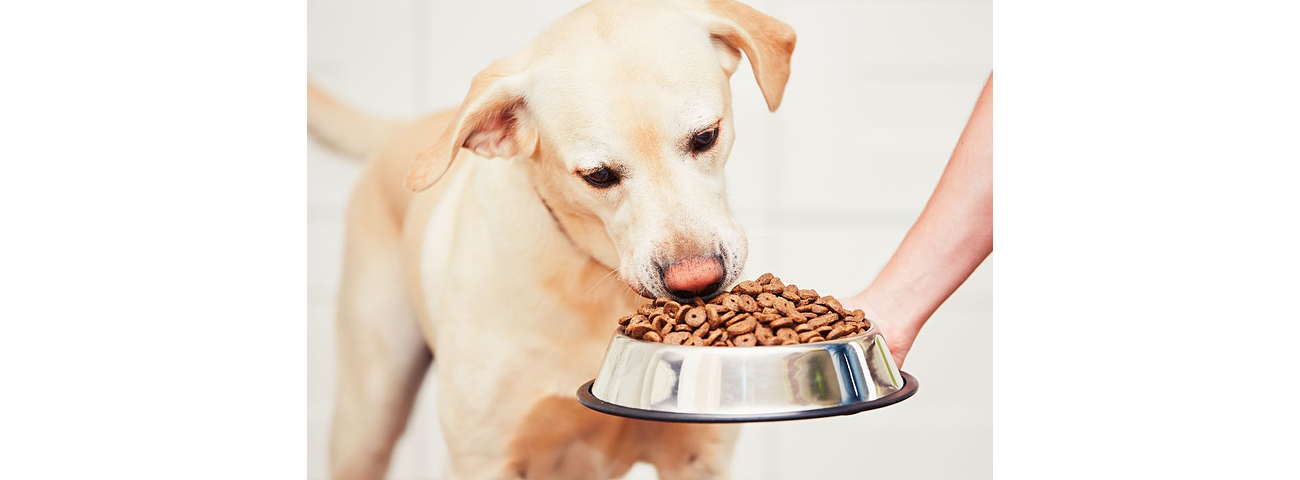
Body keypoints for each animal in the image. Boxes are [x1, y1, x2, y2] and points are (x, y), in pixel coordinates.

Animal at [306, 1, 790, 476]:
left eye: (706, 136)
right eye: (598, 175)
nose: (697, 282)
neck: (594, 276)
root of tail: (406, 126)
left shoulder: (697, 455)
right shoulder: (483, 458)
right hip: (368, 417)